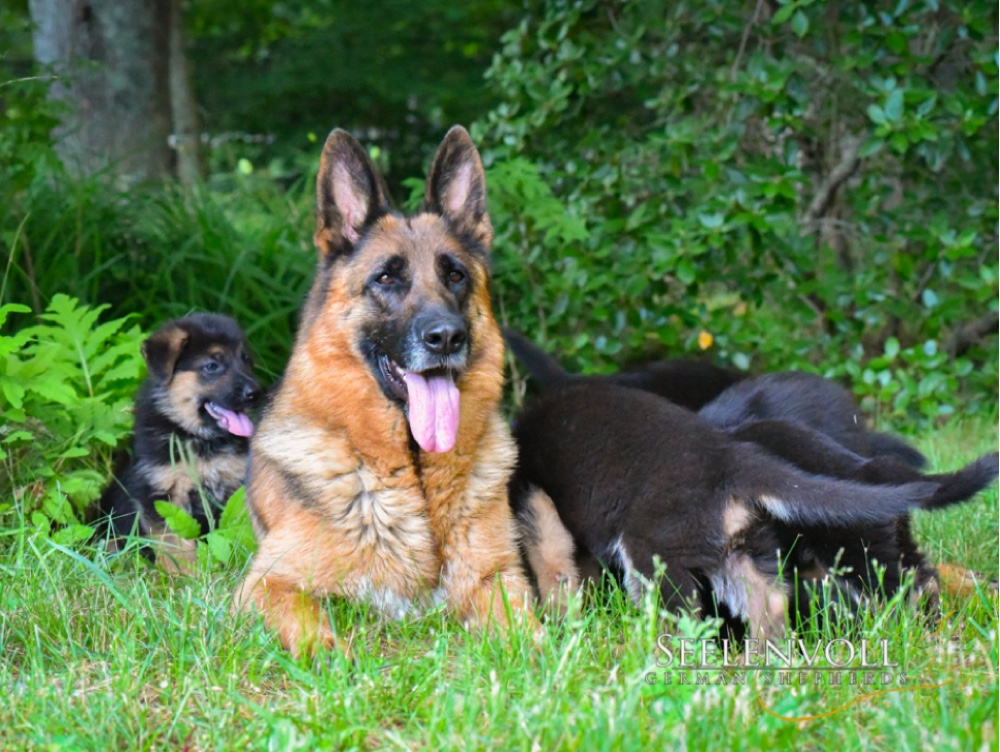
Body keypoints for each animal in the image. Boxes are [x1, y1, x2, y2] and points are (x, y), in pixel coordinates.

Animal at [96, 312, 262, 568]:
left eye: (245, 360)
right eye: (212, 366)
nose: (256, 393)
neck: (198, 437)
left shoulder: (235, 487)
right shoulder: (163, 496)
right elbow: (177, 546)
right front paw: (185, 575)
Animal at [234, 126, 536, 656]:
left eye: (455, 275)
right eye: (387, 277)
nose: (446, 338)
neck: (412, 474)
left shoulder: (498, 578)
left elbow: (529, 634)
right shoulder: (266, 584)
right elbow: (308, 624)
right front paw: (333, 660)